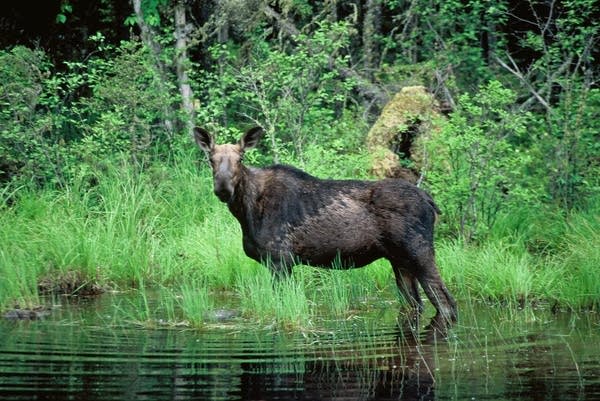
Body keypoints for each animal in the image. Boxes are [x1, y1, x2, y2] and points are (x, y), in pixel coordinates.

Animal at [195, 126, 458, 322]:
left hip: (419, 252)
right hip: (399, 260)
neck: (246, 212)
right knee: (415, 304)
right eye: (210, 159)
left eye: (240, 159)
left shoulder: (281, 260)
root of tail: (430, 201)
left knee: (446, 303)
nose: (223, 188)